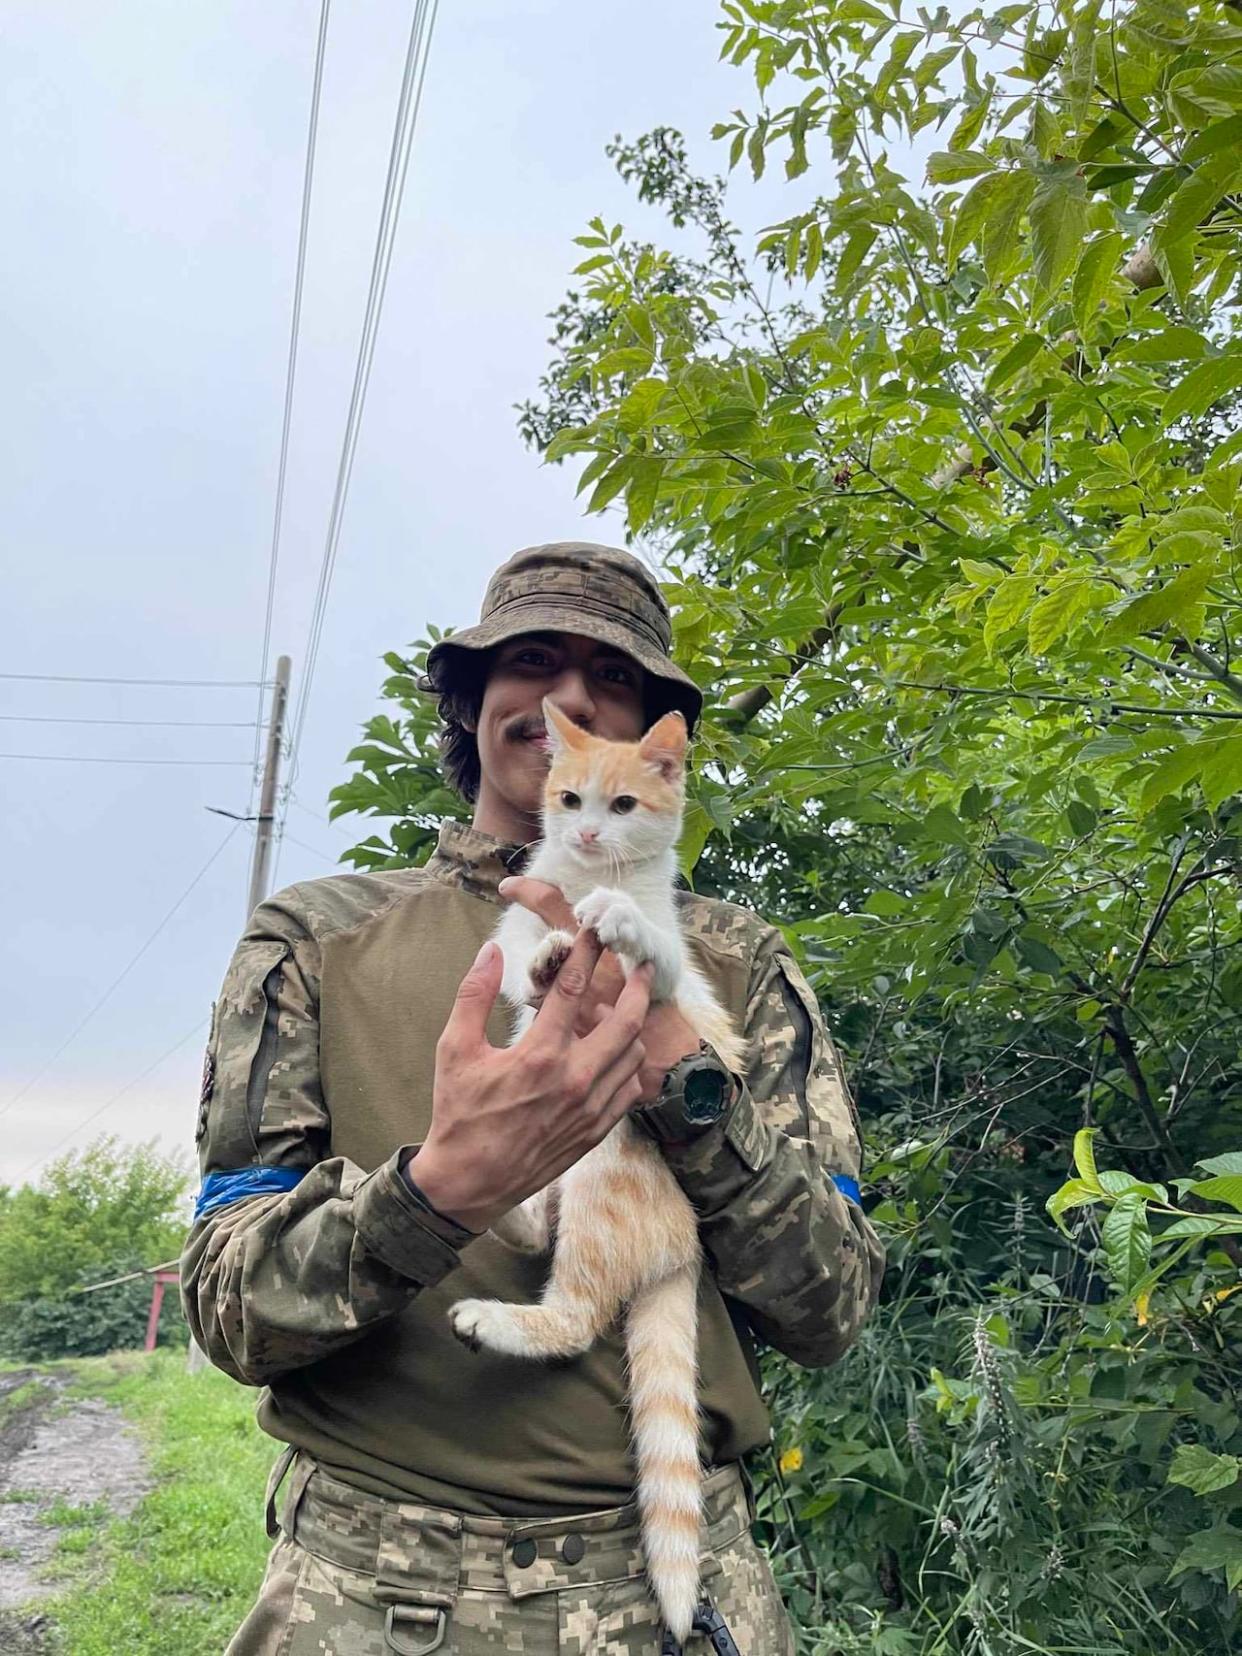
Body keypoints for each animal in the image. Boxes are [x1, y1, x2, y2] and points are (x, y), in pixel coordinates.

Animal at [447, 698, 738, 1642]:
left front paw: (611, 919)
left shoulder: (670, 974)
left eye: (623, 807)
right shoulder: (512, 925)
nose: (581, 835)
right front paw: (549, 954)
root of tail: (683, 1250)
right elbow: (519, 951)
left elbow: (649, 945)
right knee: (531, 1224)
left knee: (573, 1315)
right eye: (569, 797)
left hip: (600, 1173)